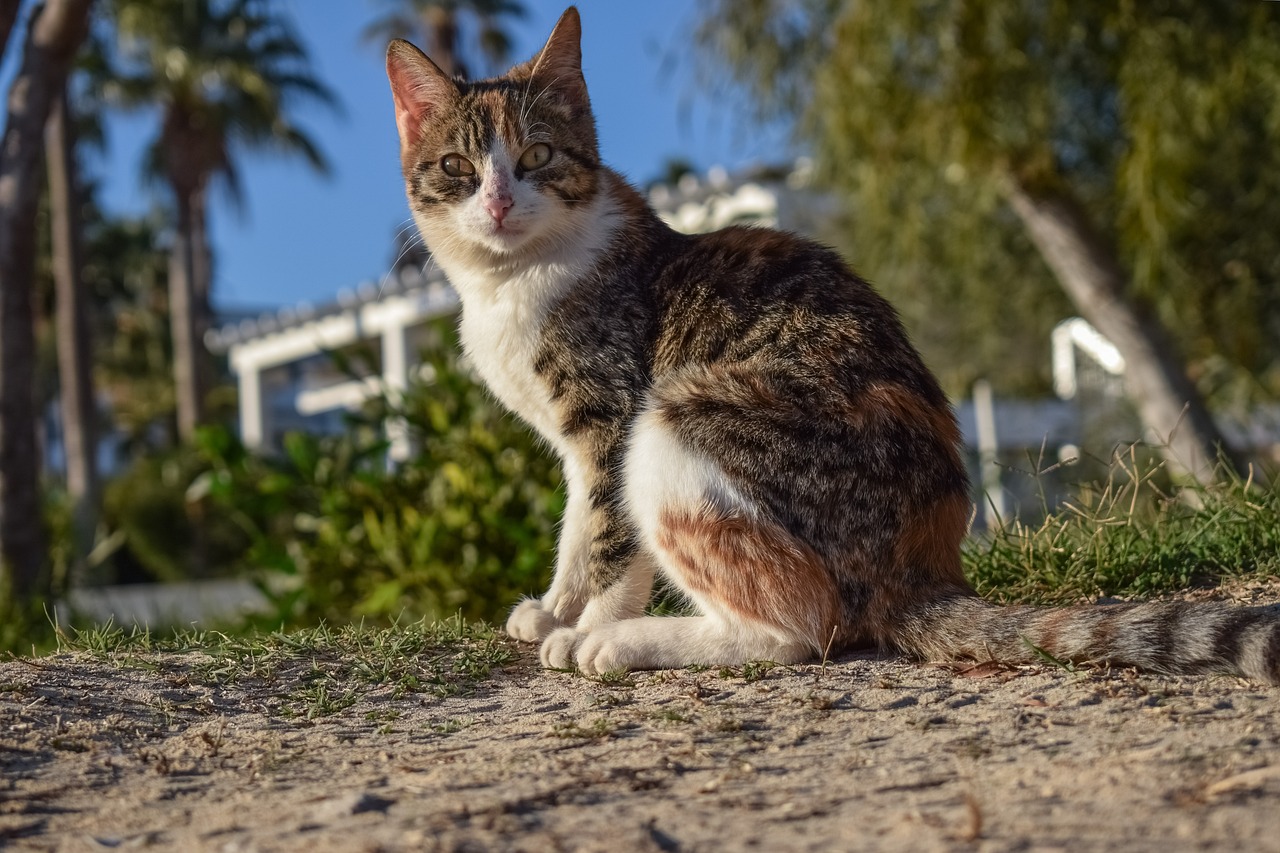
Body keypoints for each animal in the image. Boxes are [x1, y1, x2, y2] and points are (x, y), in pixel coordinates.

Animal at [384, 6, 1280, 681]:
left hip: (676, 417)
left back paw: (624, 643)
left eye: (537, 156)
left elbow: (611, 535)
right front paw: (552, 608)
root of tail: (923, 567)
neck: (512, 282)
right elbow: (578, 528)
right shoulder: (576, 445)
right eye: (459, 167)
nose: (499, 202)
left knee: (801, 628)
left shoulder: (609, 415)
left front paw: (586, 621)